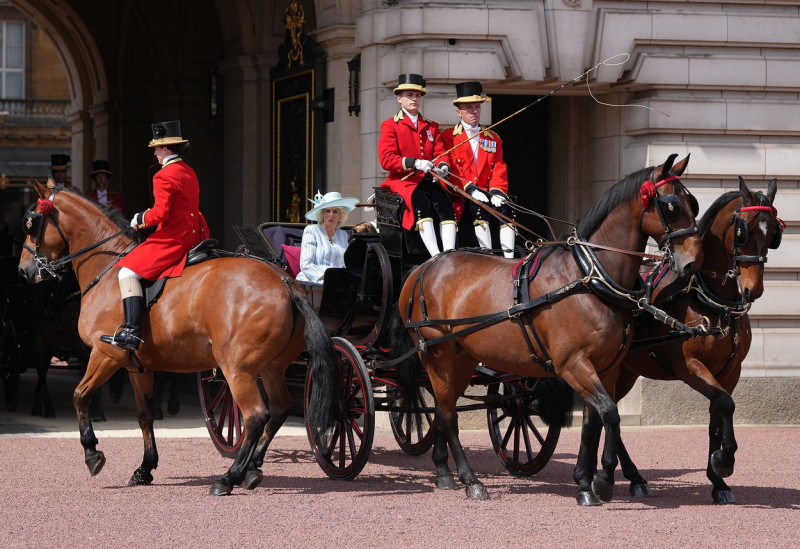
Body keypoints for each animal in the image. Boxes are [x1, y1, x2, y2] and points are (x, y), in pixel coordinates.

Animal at [18, 182, 338, 494]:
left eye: (32, 224)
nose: (23, 271)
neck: (107, 270)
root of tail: (285, 282)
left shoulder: (105, 355)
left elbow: (80, 395)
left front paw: (92, 453)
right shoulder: (137, 368)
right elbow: (144, 415)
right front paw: (145, 468)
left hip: (238, 369)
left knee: (256, 415)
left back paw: (229, 477)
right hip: (271, 368)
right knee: (280, 409)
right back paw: (251, 468)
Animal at [392, 154, 700, 500]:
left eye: (694, 203)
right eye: (672, 205)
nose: (692, 263)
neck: (588, 277)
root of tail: (424, 267)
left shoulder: (605, 368)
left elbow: (595, 421)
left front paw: (586, 481)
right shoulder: (573, 364)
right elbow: (610, 413)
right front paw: (604, 480)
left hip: (462, 358)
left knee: (443, 412)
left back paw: (443, 471)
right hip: (440, 357)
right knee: (446, 415)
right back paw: (470, 480)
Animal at [588, 178, 780, 504]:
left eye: (773, 235)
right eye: (744, 231)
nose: (752, 290)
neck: (710, 300)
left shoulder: (730, 372)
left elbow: (718, 417)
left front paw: (718, 480)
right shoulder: (689, 366)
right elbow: (726, 404)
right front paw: (724, 461)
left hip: (624, 371)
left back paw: (632, 476)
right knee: (606, 414)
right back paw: (628, 476)